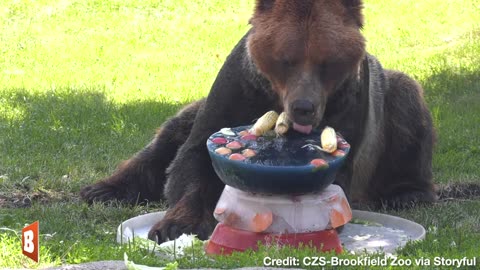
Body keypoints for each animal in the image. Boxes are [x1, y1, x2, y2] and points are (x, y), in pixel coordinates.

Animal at [80, 0, 436, 244]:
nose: (304, 108)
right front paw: (175, 224)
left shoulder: (349, 106)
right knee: (167, 139)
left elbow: (334, 177)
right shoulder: (237, 89)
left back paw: (407, 193)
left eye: (327, 62)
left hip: (387, 104)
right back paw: (102, 189)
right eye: (287, 59)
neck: (275, 98)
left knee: (408, 107)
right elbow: (191, 161)